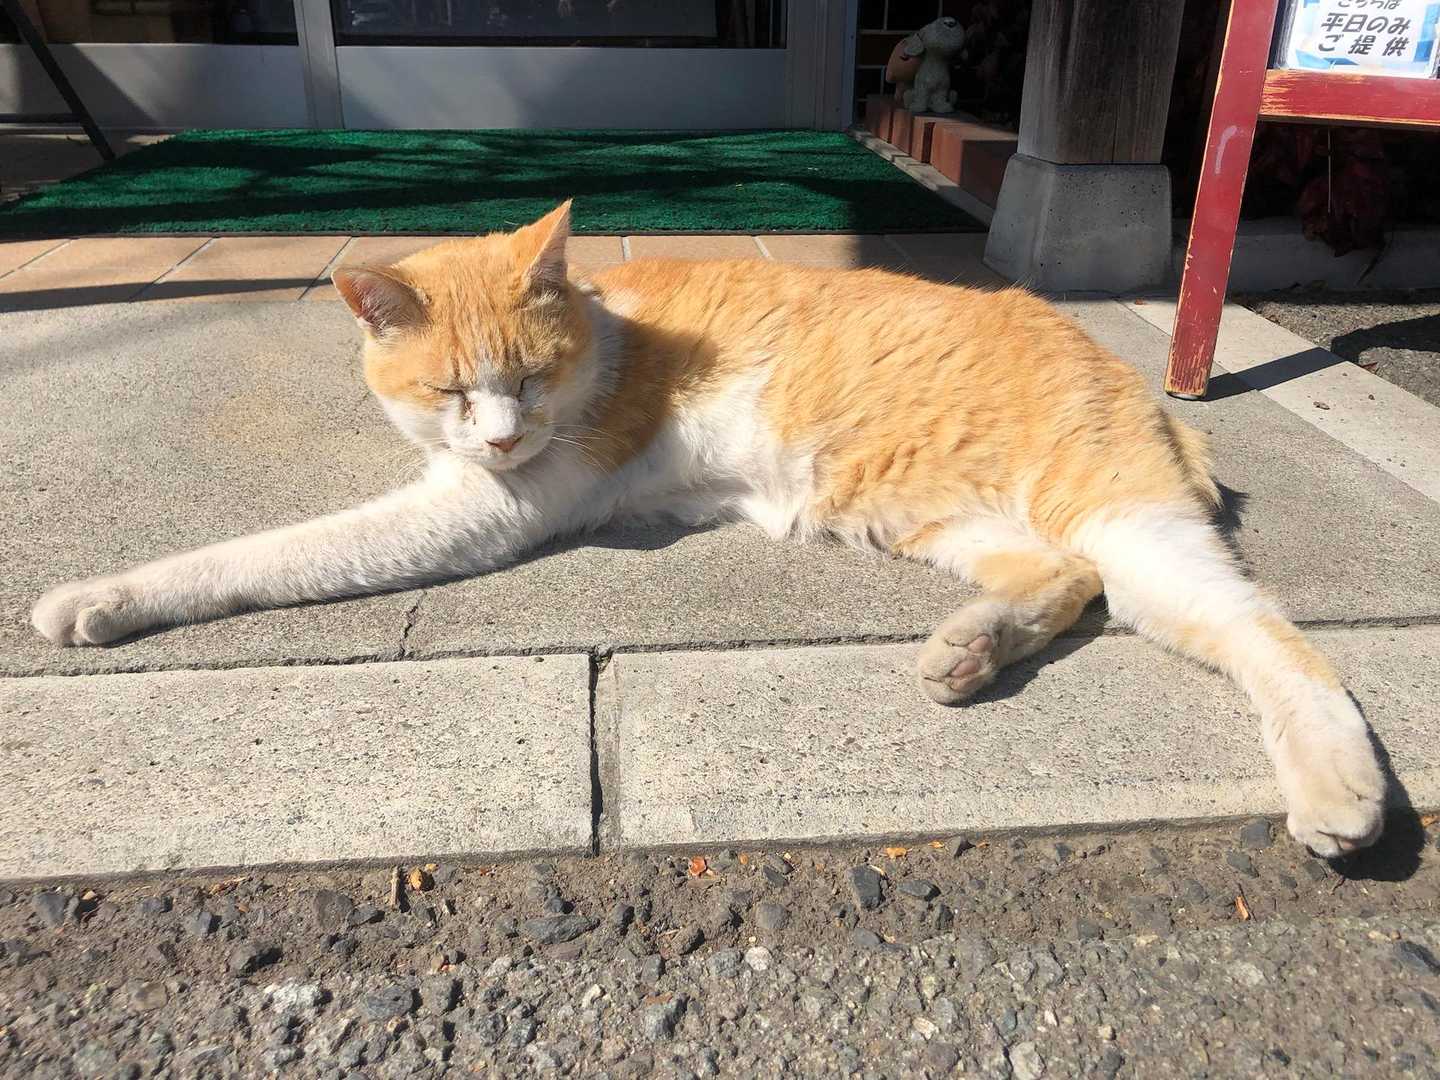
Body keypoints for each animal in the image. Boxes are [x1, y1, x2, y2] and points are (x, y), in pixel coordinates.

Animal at [31, 202, 1386, 857]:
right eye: (454, 389)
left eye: (530, 379)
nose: (502, 436)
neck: (609, 329)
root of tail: (1128, 374)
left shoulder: (480, 514)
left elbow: (263, 553)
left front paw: (102, 598)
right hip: (936, 522)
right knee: (1059, 582)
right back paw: (971, 649)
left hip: (1129, 528)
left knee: (1276, 646)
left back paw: (1344, 793)